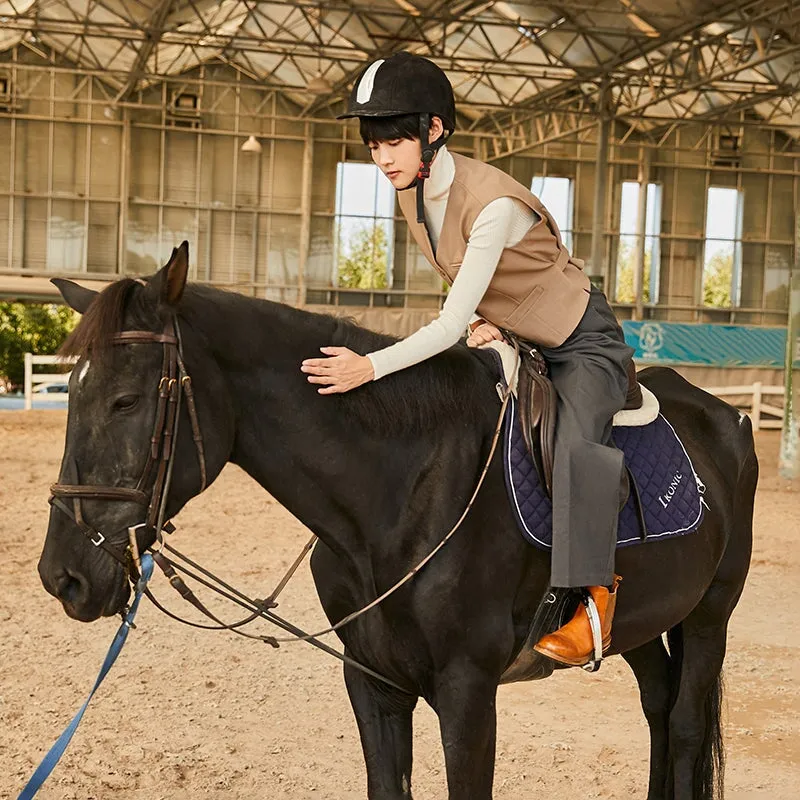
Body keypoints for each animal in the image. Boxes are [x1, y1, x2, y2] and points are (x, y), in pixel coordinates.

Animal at [39, 245, 756, 800]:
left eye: (126, 400)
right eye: (69, 392)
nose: (61, 575)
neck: (401, 493)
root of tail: (725, 414)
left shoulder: (467, 694)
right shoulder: (372, 681)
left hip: (710, 615)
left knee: (684, 726)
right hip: (643, 619)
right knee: (658, 709)